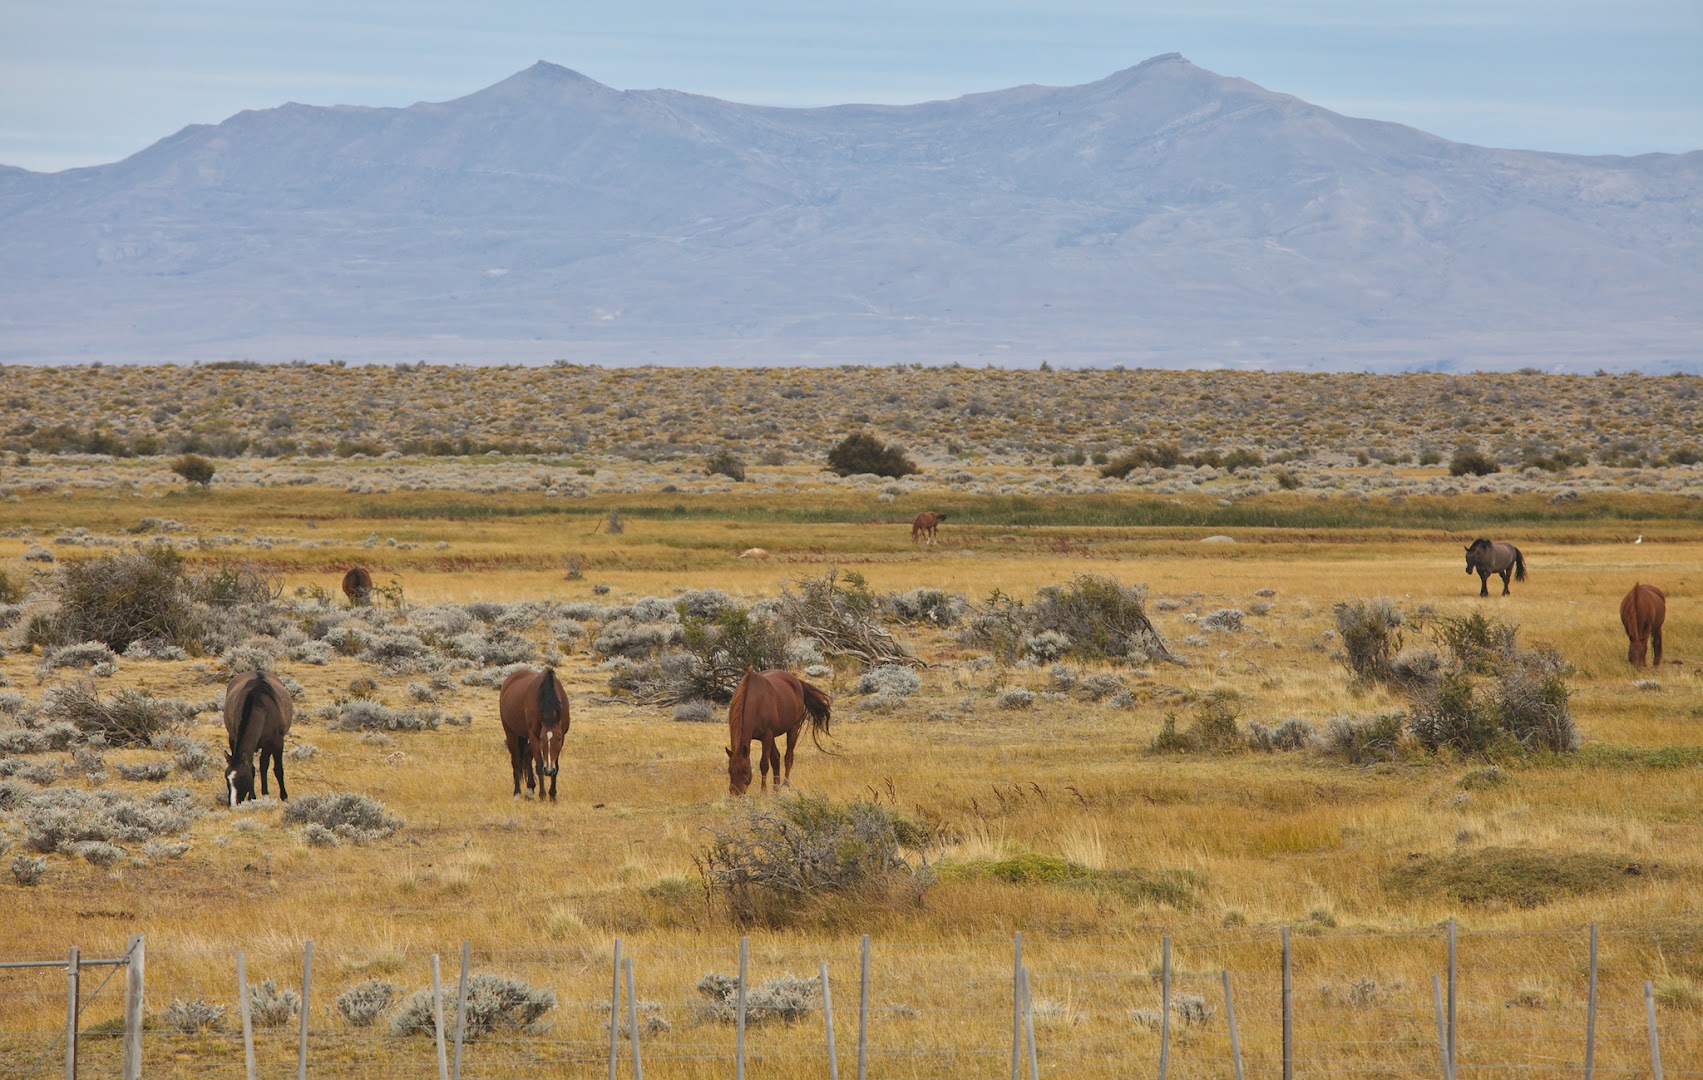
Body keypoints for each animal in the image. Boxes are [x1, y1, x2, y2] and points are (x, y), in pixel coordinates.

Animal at [224, 667, 294, 804]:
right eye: (226, 778)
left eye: (242, 778)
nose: (233, 804)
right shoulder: (234, 739)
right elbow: (252, 769)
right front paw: (252, 797)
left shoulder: (276, 742)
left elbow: (277, 769)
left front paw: (284, 796)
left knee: (264, 765)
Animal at [497, 664, 572, 800]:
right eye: (542, 738)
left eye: (558, 738)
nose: (549, 771)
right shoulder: (534, 735)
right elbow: (539, 764)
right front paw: (542, 795)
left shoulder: (563, 735)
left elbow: (556, 765)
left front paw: (552, 795)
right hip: (511, 733)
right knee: (516, 761)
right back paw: (517, 793)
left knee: (526, 755)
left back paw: (530, 789)